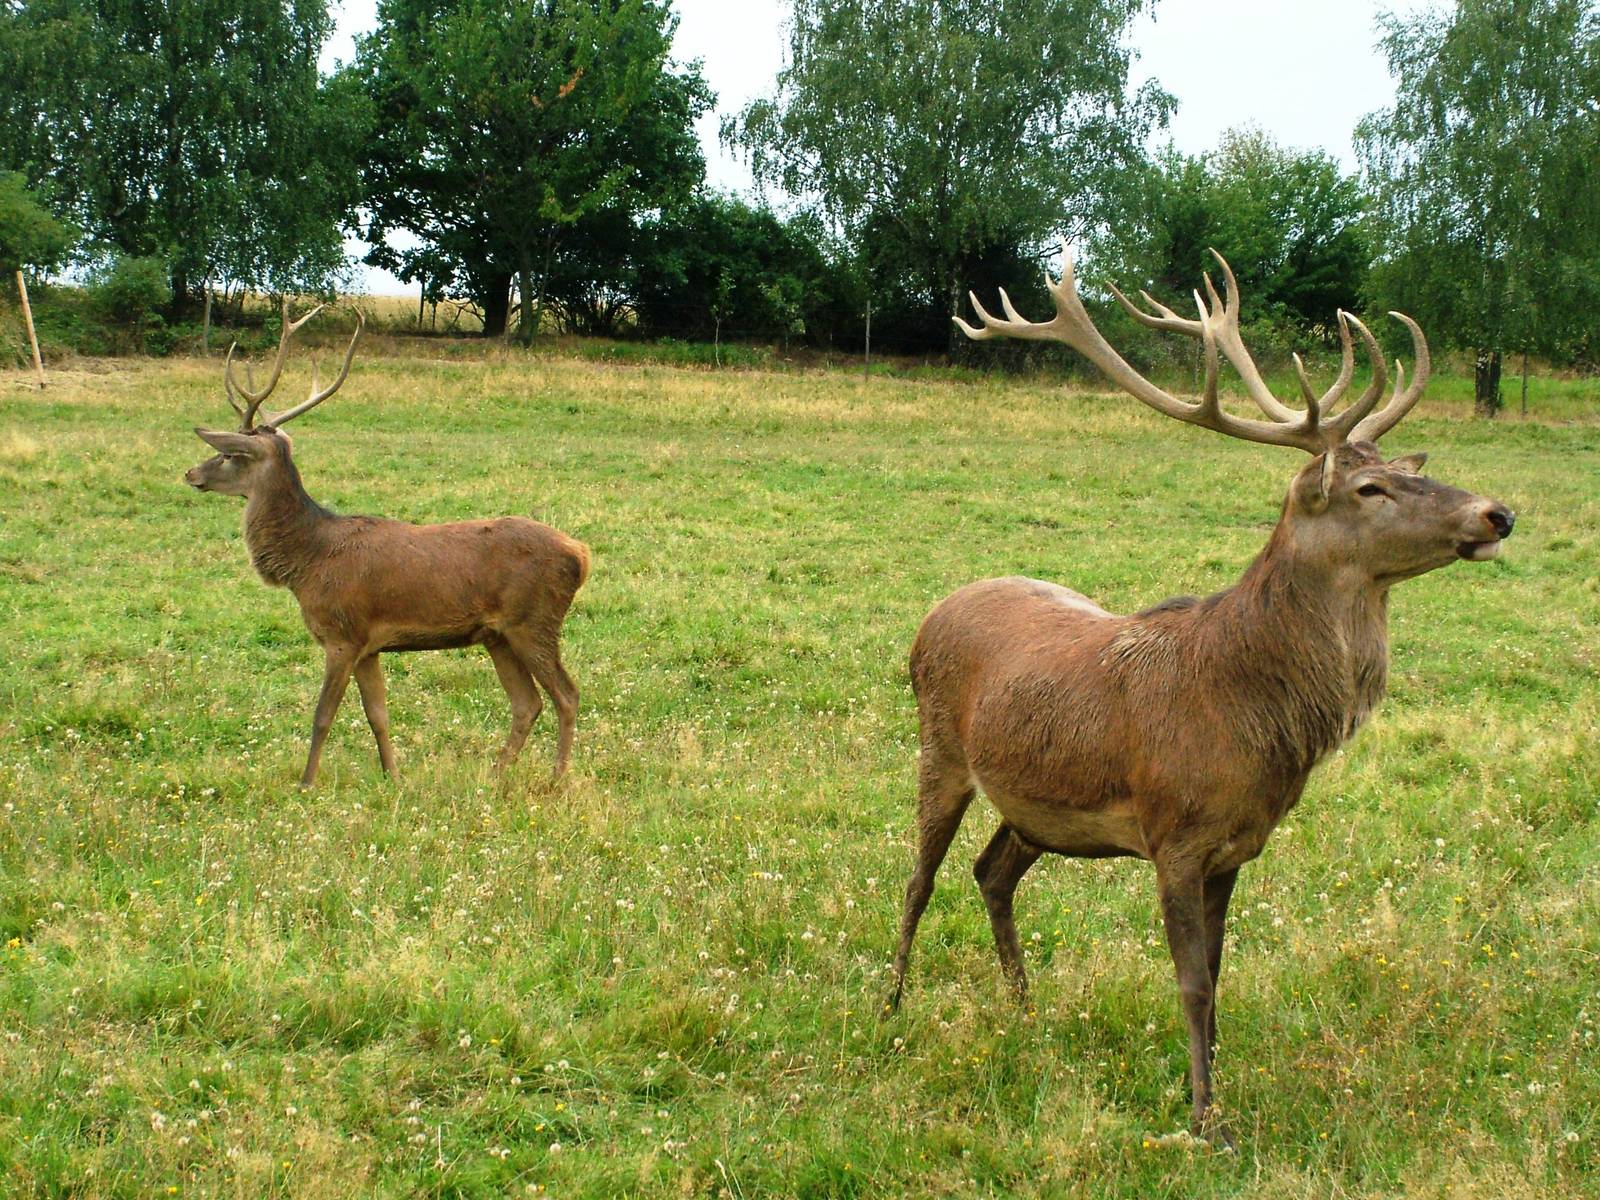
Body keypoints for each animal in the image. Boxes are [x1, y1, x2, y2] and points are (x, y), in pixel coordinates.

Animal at [184, 301, 590, 787]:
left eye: (230, 454)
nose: (191, 473)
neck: (307, 563)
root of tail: (581, 555)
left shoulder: (342, 633)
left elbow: (323, 715)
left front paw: (306, 782)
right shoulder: (370, 646)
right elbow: (378, 714)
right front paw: (394, 776)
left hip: (534, 620)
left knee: (567, 694)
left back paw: (557, 778)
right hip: (499, 636)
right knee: (527, 702)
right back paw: (493, 774)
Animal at [886, 251, 1515, 1148]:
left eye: (1410, 470)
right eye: (1369, 488)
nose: (1497, 513)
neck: (1254, 720)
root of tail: (933, 611)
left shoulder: (1237, 849)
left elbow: (1219, 978)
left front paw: (1215, 1094)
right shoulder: (1175, 836)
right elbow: (1189, 981)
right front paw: (1203, 1120)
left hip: (1036, 806)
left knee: (992, 871)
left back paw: (1025, 1011)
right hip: (938, 749)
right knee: (919, 879)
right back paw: (891, 1007)